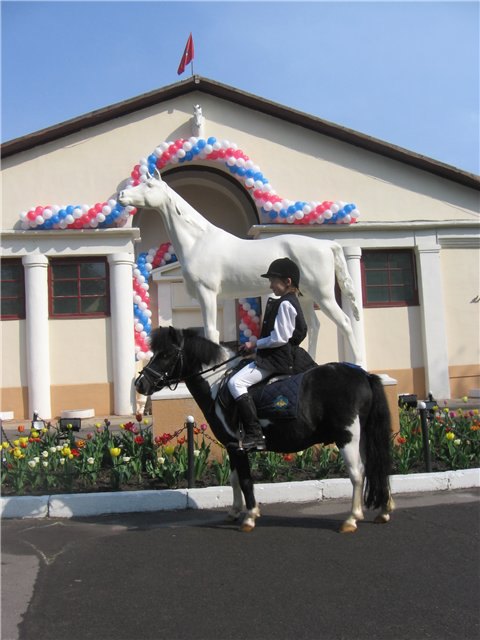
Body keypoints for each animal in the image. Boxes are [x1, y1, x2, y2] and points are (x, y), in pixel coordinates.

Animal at [136, 328, 394, 532]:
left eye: (167, 354)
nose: (140, 384)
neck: (217, 383)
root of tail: (364, 375)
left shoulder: (239, 447)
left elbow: (246, 480)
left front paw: (250, 517)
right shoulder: (232, 446)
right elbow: (234, 479)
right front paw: (234, 512)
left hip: (347, 437)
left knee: (357, 473)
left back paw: (351, 519)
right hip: (363, 436)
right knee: (376, 467)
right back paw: (383, 511)